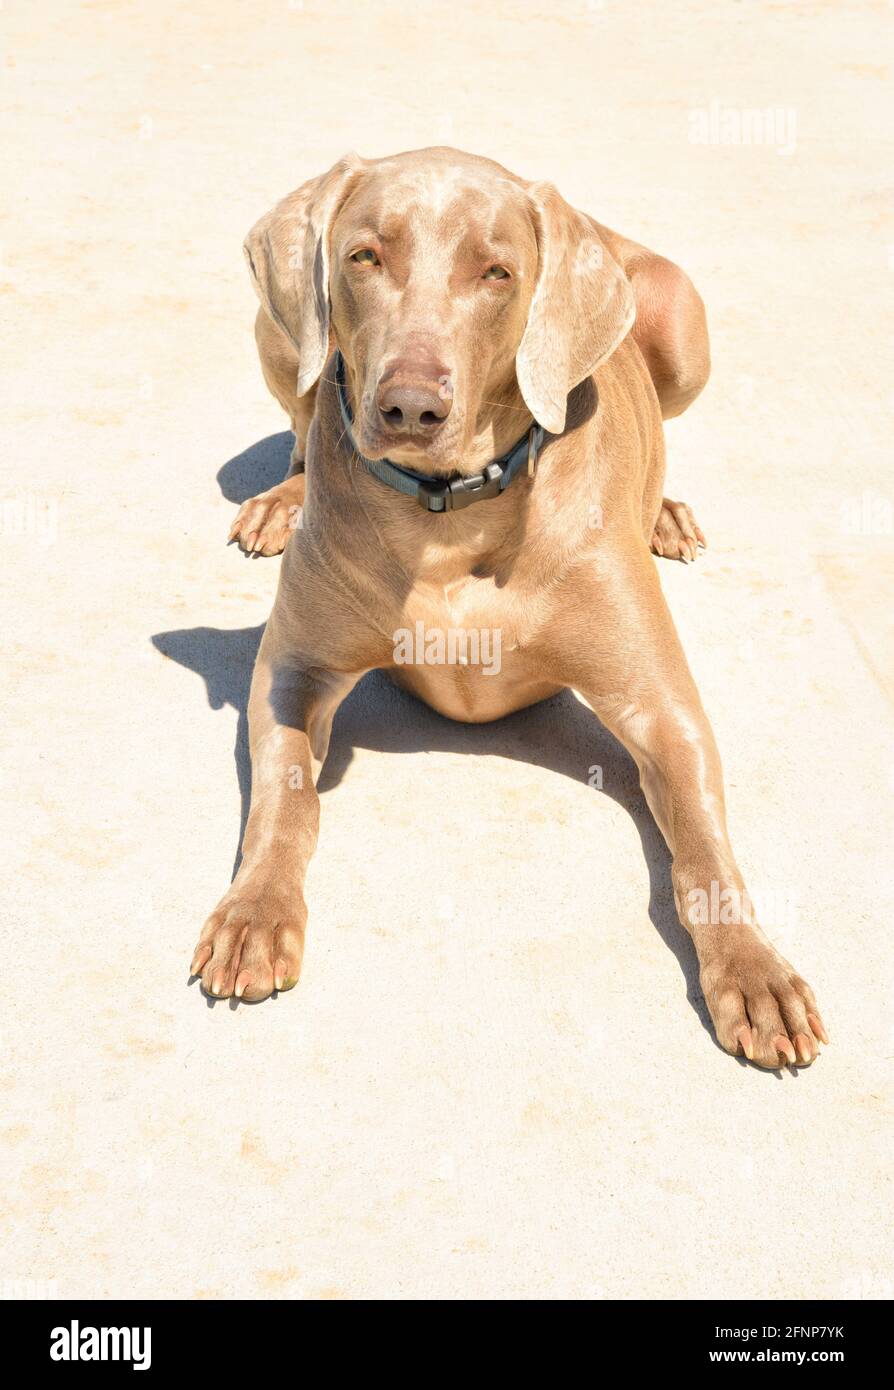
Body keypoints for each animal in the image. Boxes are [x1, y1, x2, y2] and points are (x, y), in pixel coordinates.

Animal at [191, 146, 828, 1067]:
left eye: (496, 272)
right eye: (364, 257)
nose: (410, 407)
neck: (452, 514)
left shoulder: (663, 707)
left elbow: (705, 854)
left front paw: (755, 969)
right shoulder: (292, 671)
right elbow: (285, 799)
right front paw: (255, 914)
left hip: (680, 314)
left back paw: (666, 512)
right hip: (281, 337)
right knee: (307, 407)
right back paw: (284, 499)